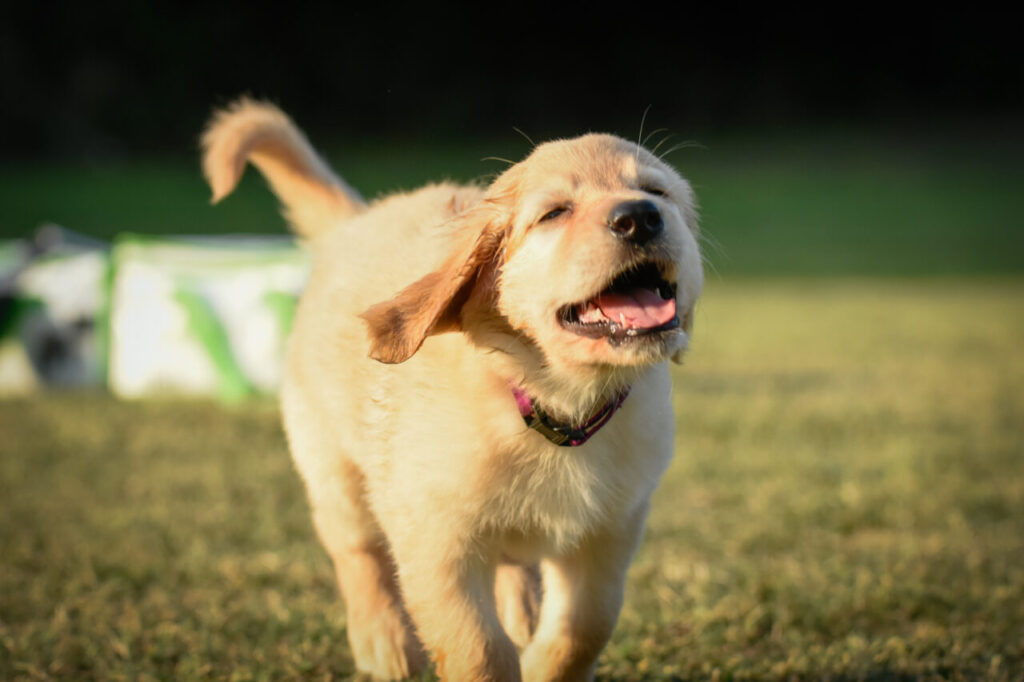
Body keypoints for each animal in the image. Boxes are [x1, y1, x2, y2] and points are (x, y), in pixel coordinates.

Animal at [205, 98, 704, 675]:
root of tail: (356, 222)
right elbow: (478, 649)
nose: (640, 217)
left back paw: (522, 614)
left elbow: (582, 631)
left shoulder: (608, 535)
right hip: (332, 467)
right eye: (554, 213)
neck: (550, 402)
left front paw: (541, 661)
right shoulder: (435, 542)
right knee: (357, 553)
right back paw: (384, 643)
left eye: (656, 192)